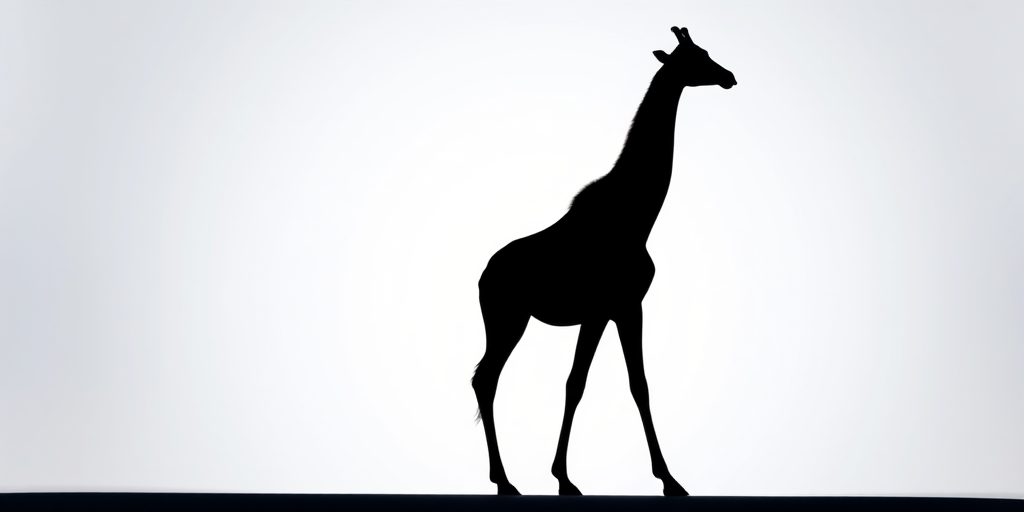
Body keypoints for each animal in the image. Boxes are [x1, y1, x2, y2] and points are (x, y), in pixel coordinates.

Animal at [472, 27, 736, 496]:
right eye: (696, 58)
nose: (729, 76)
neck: (637, 216)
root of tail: (482, 277)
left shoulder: (613, 311)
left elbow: (601, 384)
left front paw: (565, 475)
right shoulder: (618, 307)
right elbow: (613, 385)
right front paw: (664, 479)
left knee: (485, 379)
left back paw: (503, 478)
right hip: (508, 319)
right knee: (486, 379)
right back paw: (504, 481)